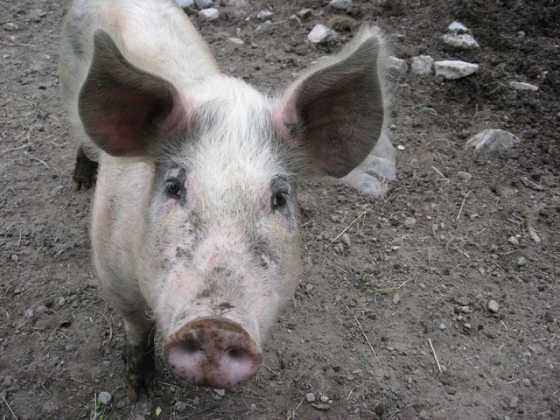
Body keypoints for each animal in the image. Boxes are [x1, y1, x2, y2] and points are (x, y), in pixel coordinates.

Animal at [58, 0, 390, 400]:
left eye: (279, 198)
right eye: (174, 186)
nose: (216, 326)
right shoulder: (111, 273)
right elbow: (136, 327)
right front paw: (139, 391)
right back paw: (80, 183)